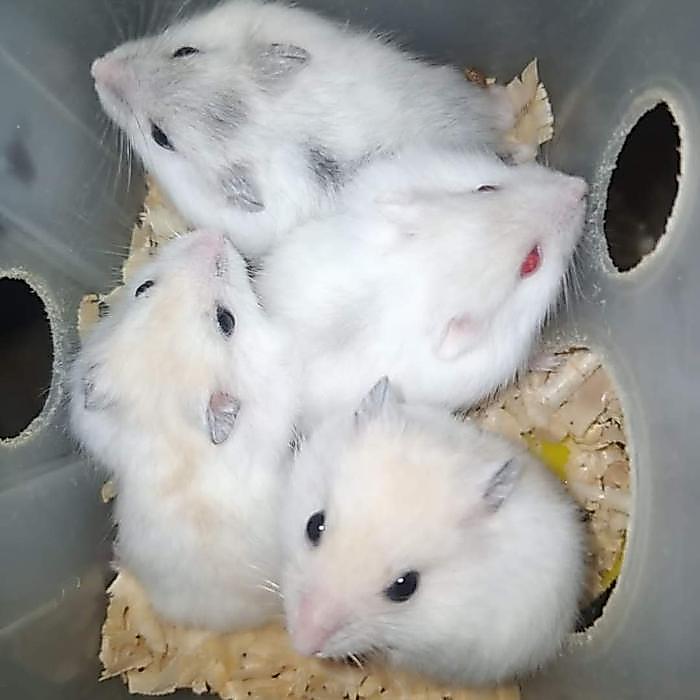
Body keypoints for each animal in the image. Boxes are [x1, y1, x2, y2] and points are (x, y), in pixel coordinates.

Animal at [257, 146, 587, 429]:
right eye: (531, 262)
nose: (583, 187)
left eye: (485, 188)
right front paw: (554, 358)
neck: (417, 276)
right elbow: (530, 357)